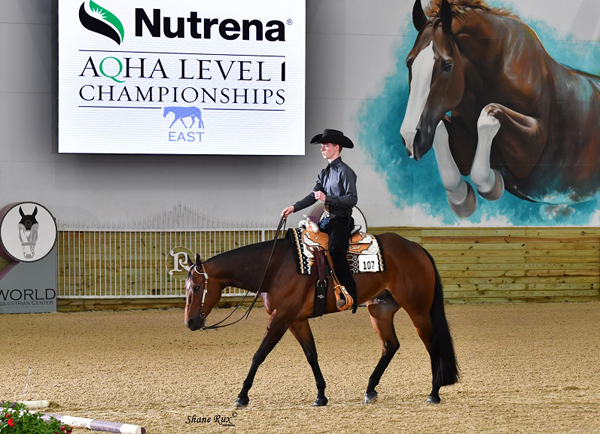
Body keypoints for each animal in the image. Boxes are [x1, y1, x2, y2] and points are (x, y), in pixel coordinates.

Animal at [185, 232, 458, 406]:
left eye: (197, 288)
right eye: (186, 288)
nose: (190, 322)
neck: (274, 268)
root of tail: (416, 247)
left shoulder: (281, 318)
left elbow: (259, 355)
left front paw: (242, 396)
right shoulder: (296, 320)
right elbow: (311, 355)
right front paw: (321, 396)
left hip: (418, 310)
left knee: (433, 346)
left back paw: (434, 393)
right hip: (380, 310)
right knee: (390, 346)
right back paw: (370, 389)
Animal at [400, 0, 600, 217]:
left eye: (447, 65)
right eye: (409, 62)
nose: (411, 140)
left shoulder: (532, 148)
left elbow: (489, 114)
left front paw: (492, 183)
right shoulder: (462, 142)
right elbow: (440, 129)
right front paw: (462, 198)